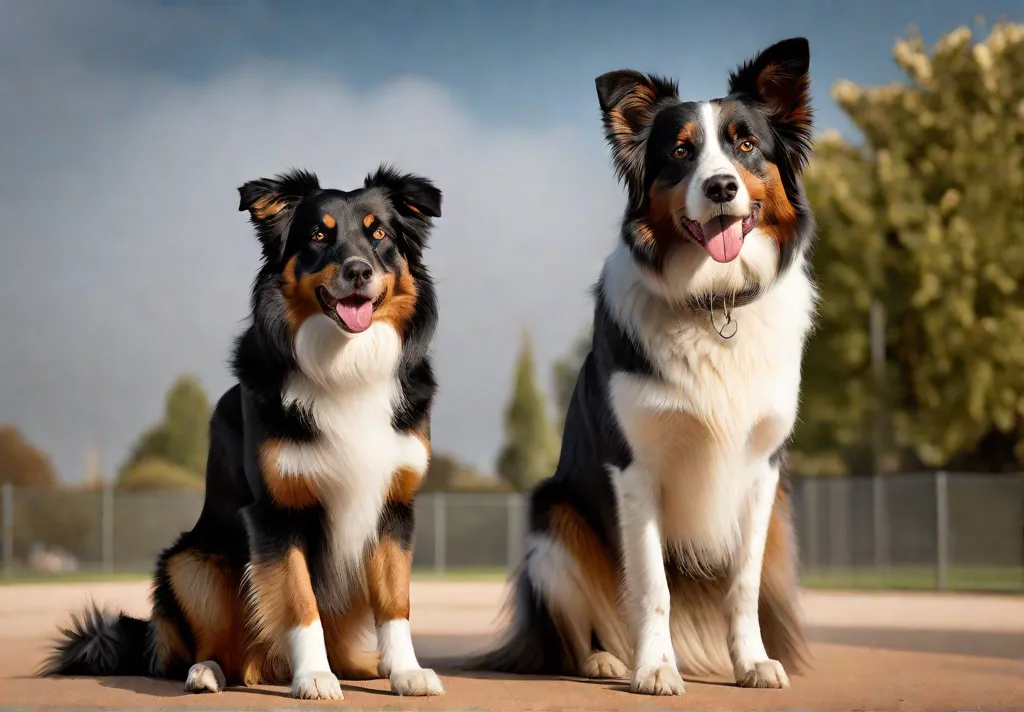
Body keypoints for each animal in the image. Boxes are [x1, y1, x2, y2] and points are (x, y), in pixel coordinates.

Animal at [43, 163, 444, 700]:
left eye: (378, 234)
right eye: (318, 236)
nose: (358, 270)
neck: (345, 362)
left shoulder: (395, 505)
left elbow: (396, 601)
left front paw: (405, 672)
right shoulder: (275, 511)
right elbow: (299, 602)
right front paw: (313, 677)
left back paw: (362, 666)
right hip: (191, 562)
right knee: (217, 648)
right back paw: (207, 673)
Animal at [471, 38, 815, 696]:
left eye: (746, 145)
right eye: (680, 152)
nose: (721, 187)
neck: (713, 302)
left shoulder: (763, 472)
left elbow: (743, 585)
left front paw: (752, 662)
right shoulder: (635, 468)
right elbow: (652, 585)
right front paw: (655, 667)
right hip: (553, 524)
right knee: (576, 631)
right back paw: (607, 659)